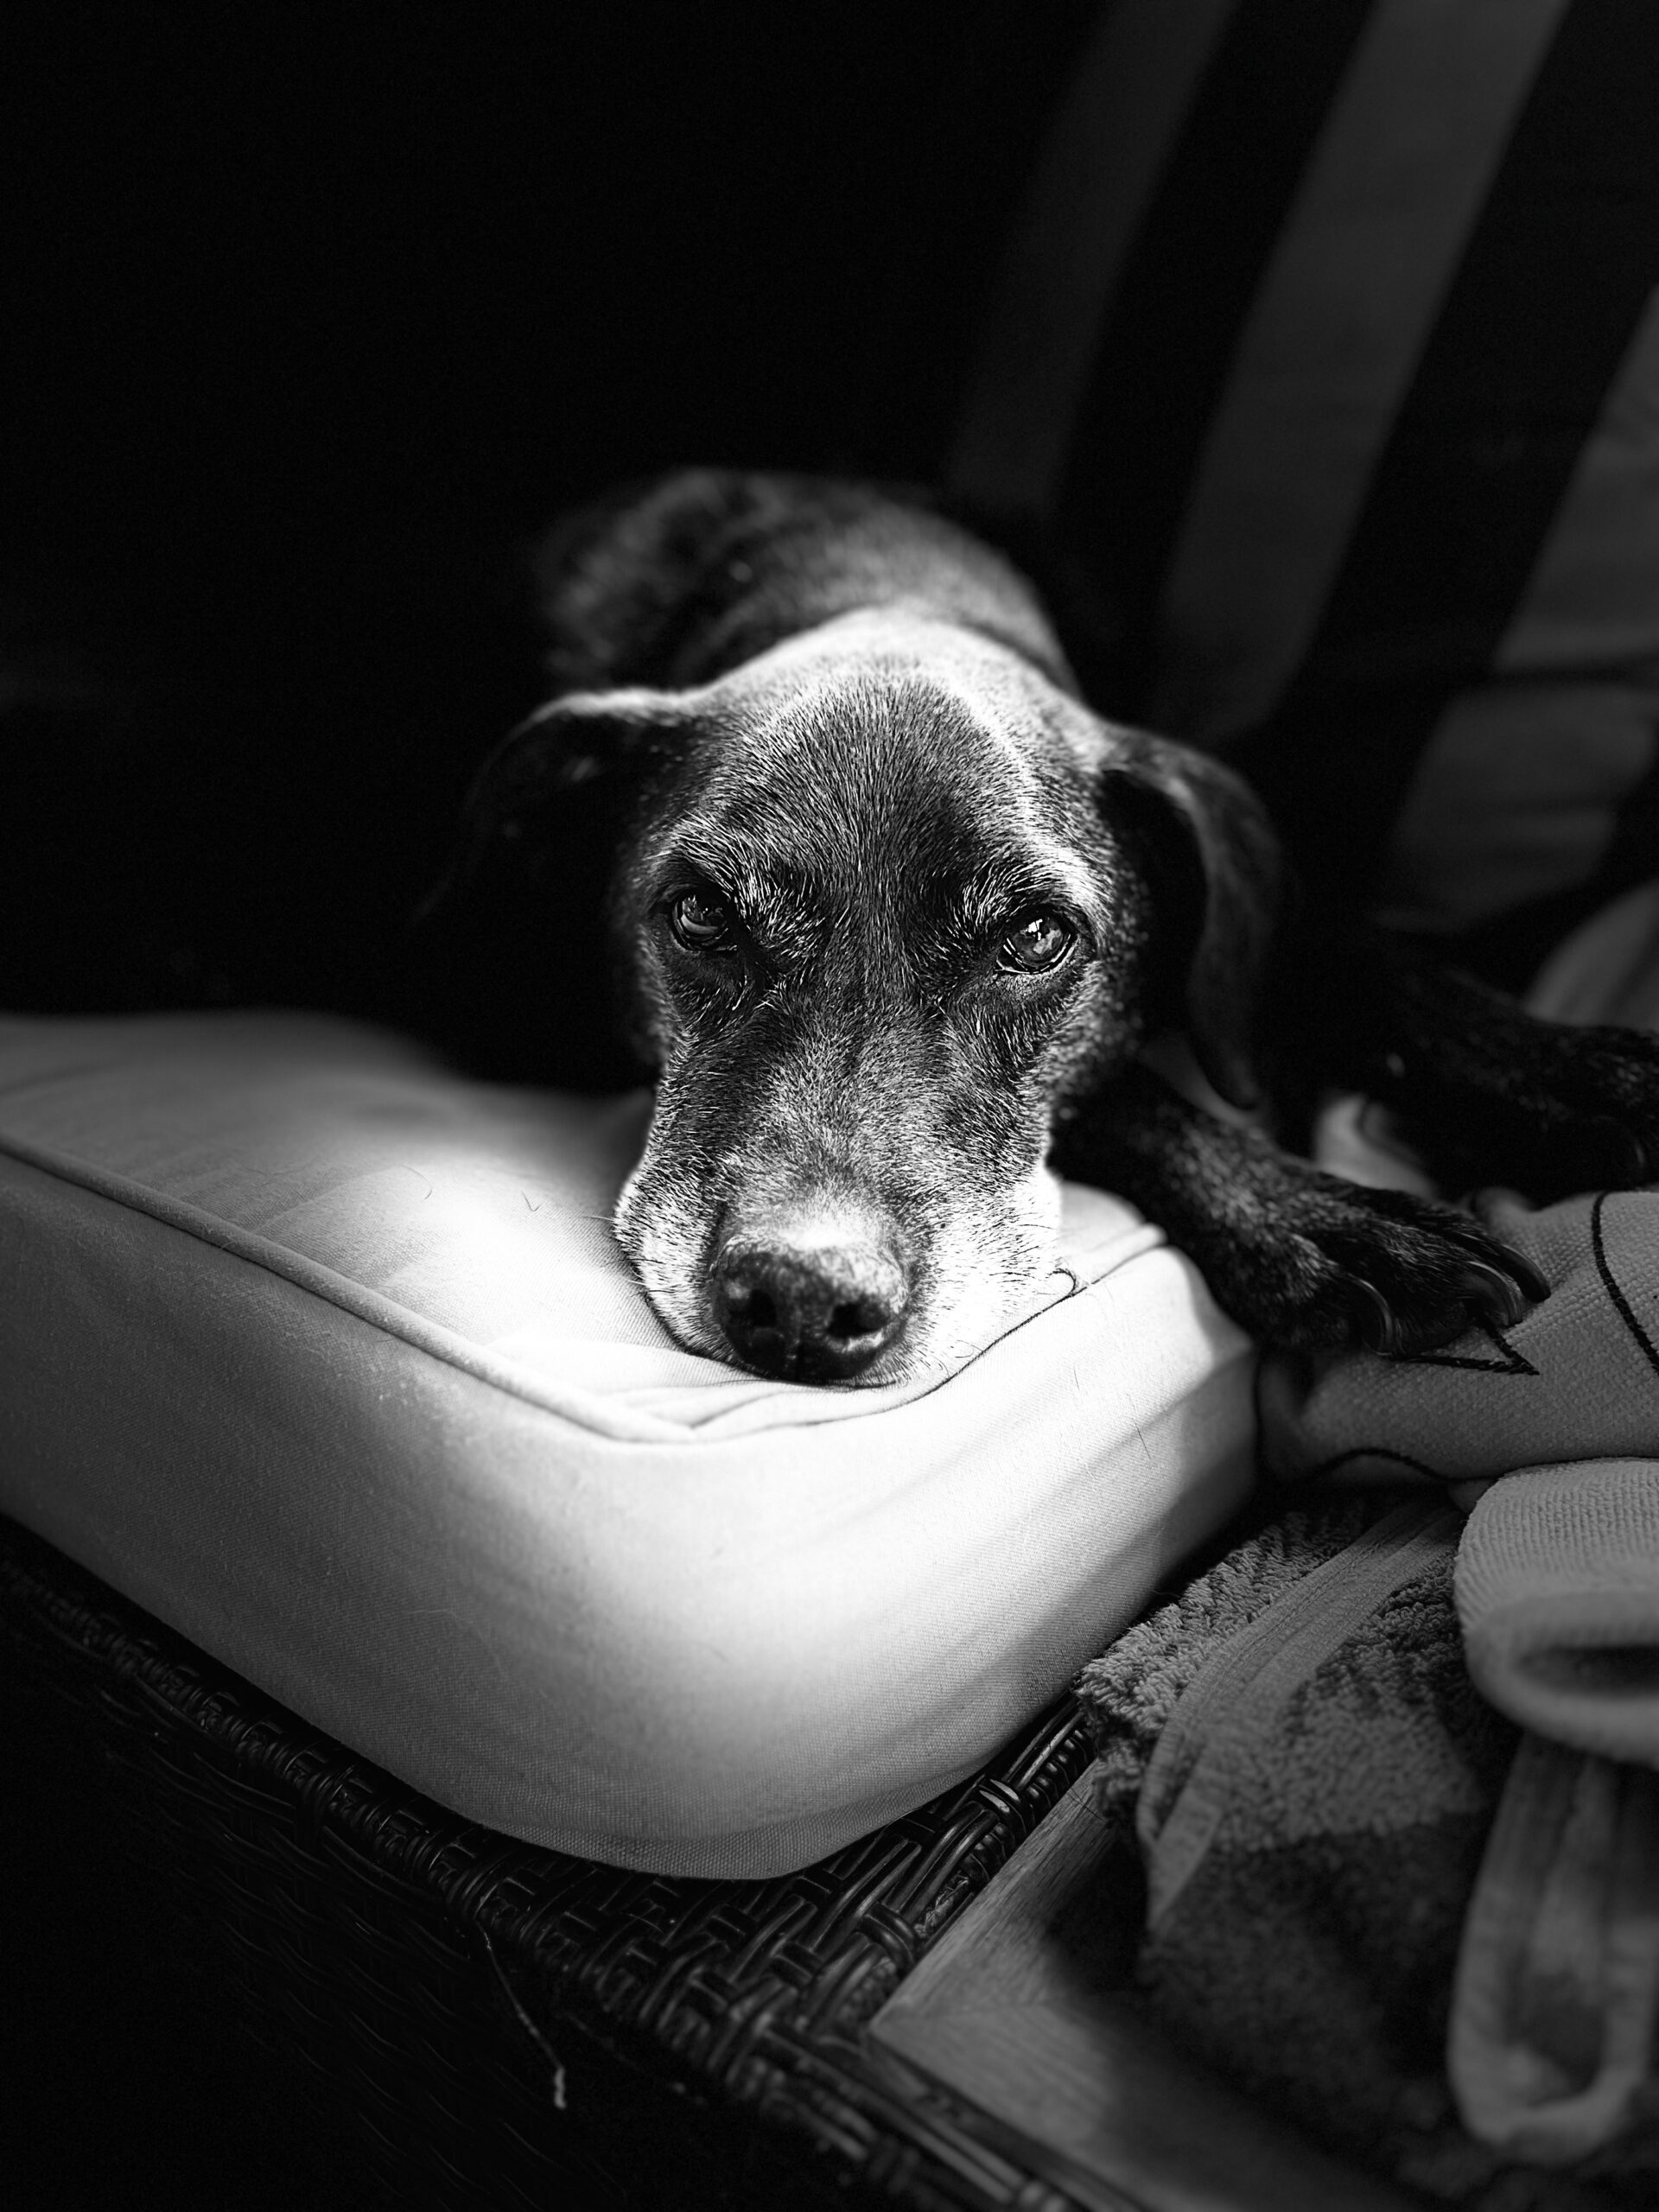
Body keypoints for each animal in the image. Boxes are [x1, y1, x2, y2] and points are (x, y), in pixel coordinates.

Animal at [413, 471, 1659, 1380]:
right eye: (702, 914)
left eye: (1035, 936)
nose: (802, 1304)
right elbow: (1126, 1085)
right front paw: (1319, 1217)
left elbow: (1339, 942)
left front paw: (1563, 1073)